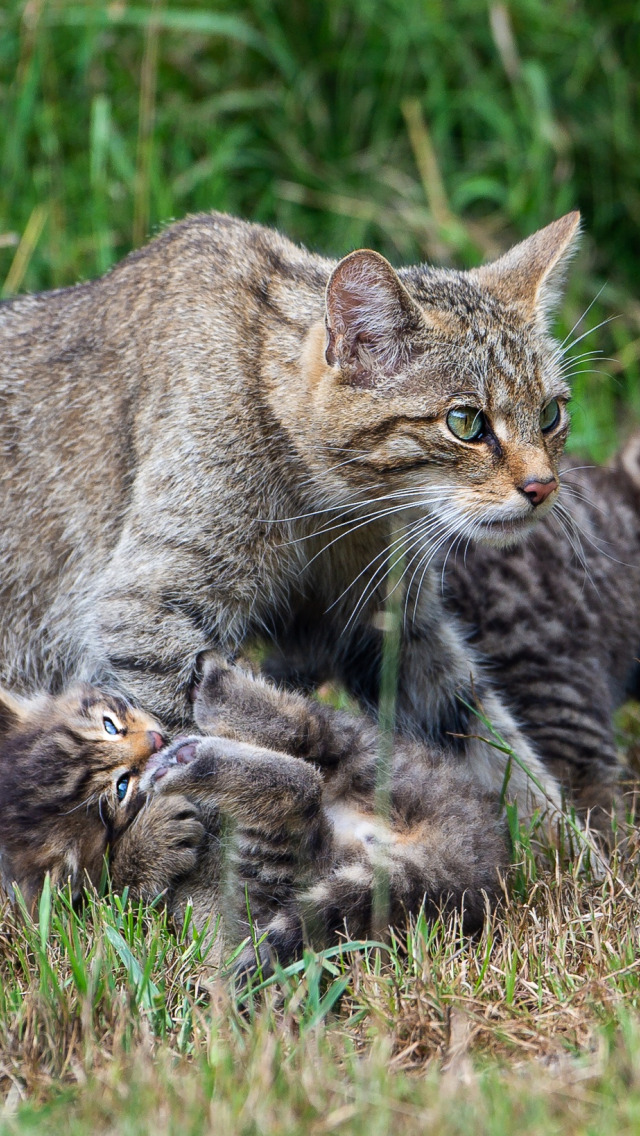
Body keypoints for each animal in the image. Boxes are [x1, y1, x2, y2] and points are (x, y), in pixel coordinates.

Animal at [0, 209, 582, 822]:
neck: (330, 508)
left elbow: (486, 736)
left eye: (550, 414)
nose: (543, 485)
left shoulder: (389, 625)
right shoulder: (143, 611)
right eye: (466, 422)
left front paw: (560, 833)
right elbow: (177, 744)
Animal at [0, 663, 511, 967]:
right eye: (121, 789)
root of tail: (469, 852)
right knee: (303, 788)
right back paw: (201, 760)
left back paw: (216, 696)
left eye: (111, 725)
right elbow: (120, 898)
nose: (156, 741)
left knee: (309, 732)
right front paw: (149, 845)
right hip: (279, 867)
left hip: (380, 758)